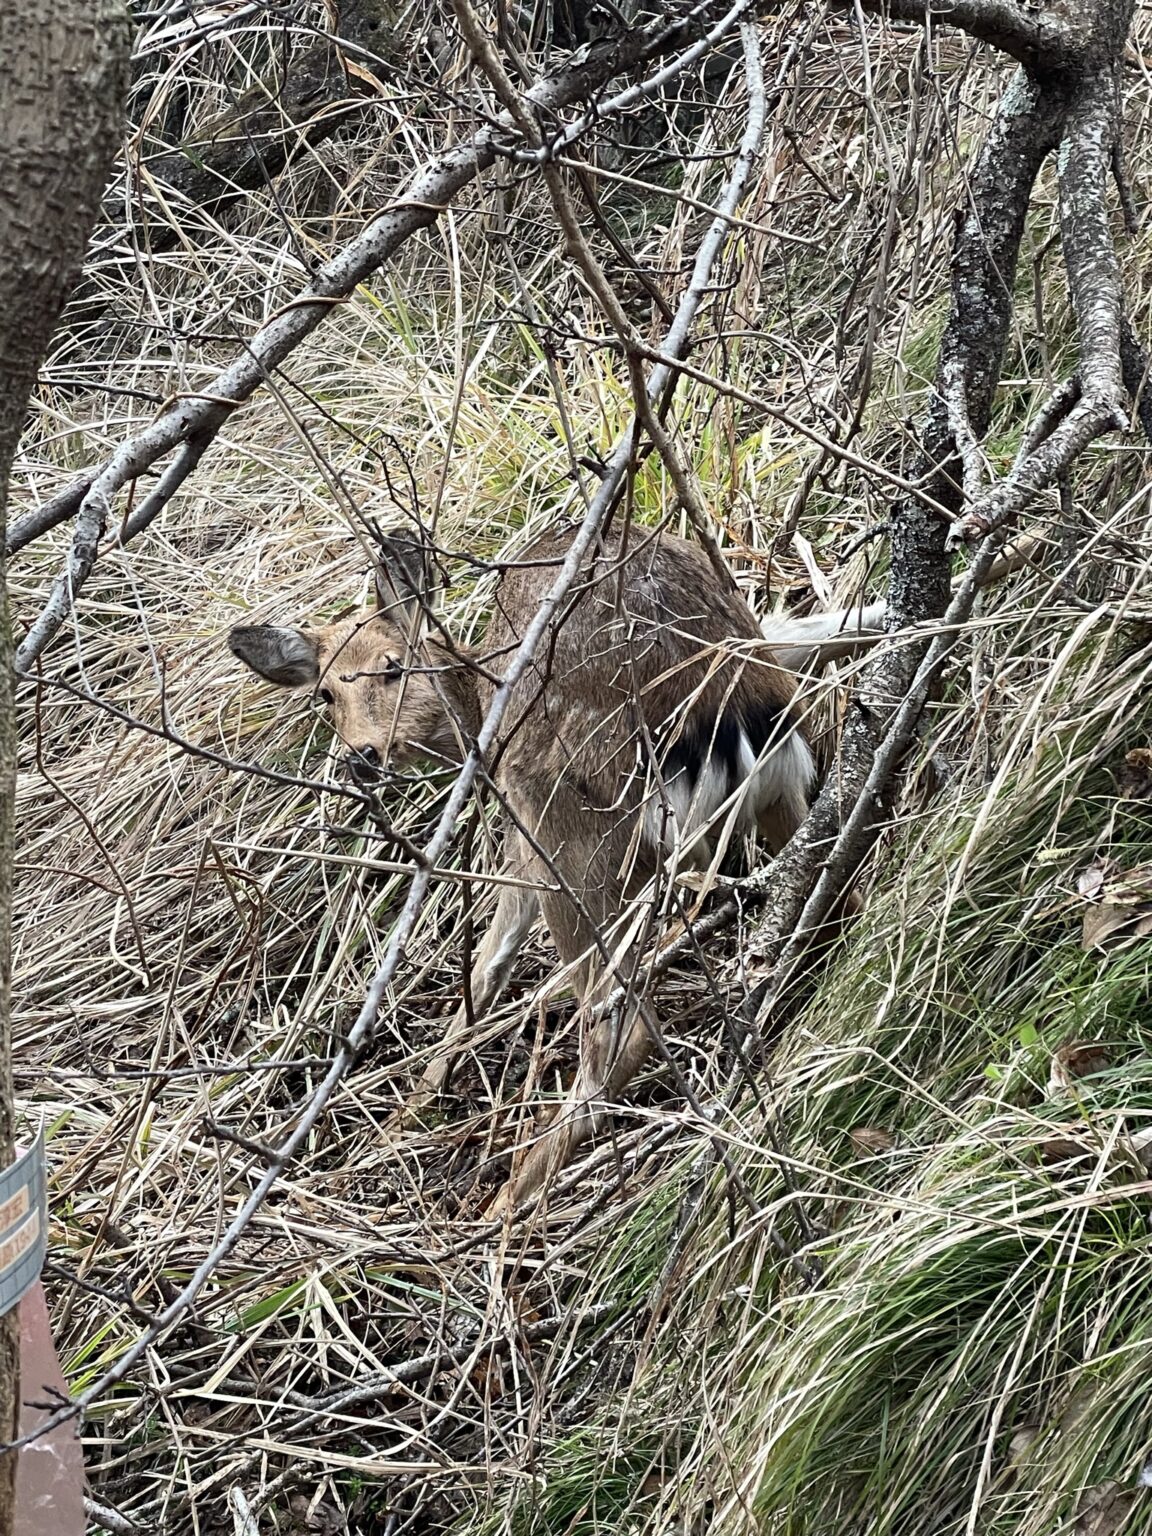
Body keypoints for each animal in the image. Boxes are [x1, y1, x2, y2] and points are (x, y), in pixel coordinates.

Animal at [228, 527, 885, 1206]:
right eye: (325, 693)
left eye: (394, 665)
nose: (363, 756)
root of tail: (728, 716)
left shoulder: (521, 839)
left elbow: (488, 963)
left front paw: (408, 1111)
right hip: (781, 789)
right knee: (837, 896)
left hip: (573, 839)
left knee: (618, 1028)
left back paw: (509, 1201)